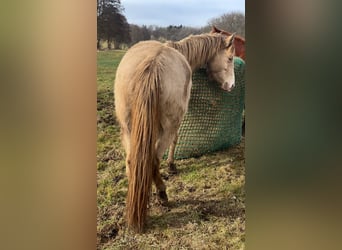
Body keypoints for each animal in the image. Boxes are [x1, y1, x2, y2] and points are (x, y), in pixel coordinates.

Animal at [115, 30, 235, 232]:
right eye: (230, 58)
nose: (232, 85)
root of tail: (153, 65)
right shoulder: (175, 124)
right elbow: (175, 140)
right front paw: (171, 166)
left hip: (127, 128)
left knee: (133, 161)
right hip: (168, 125)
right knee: (153, 159)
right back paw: (162, 194)